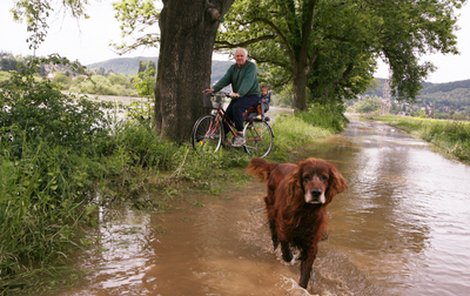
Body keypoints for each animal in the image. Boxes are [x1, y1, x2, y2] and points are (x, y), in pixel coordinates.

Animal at [248, 157, 346, 290]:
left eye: (324, 177)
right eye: (306, 177)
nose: (316, 193)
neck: (306, 210)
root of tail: (277, 165)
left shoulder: (311, 242)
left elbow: (305, 272)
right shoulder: (283, 226)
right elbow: (286, 248)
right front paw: (290, 257)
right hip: (271, 210)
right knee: (275, 237)